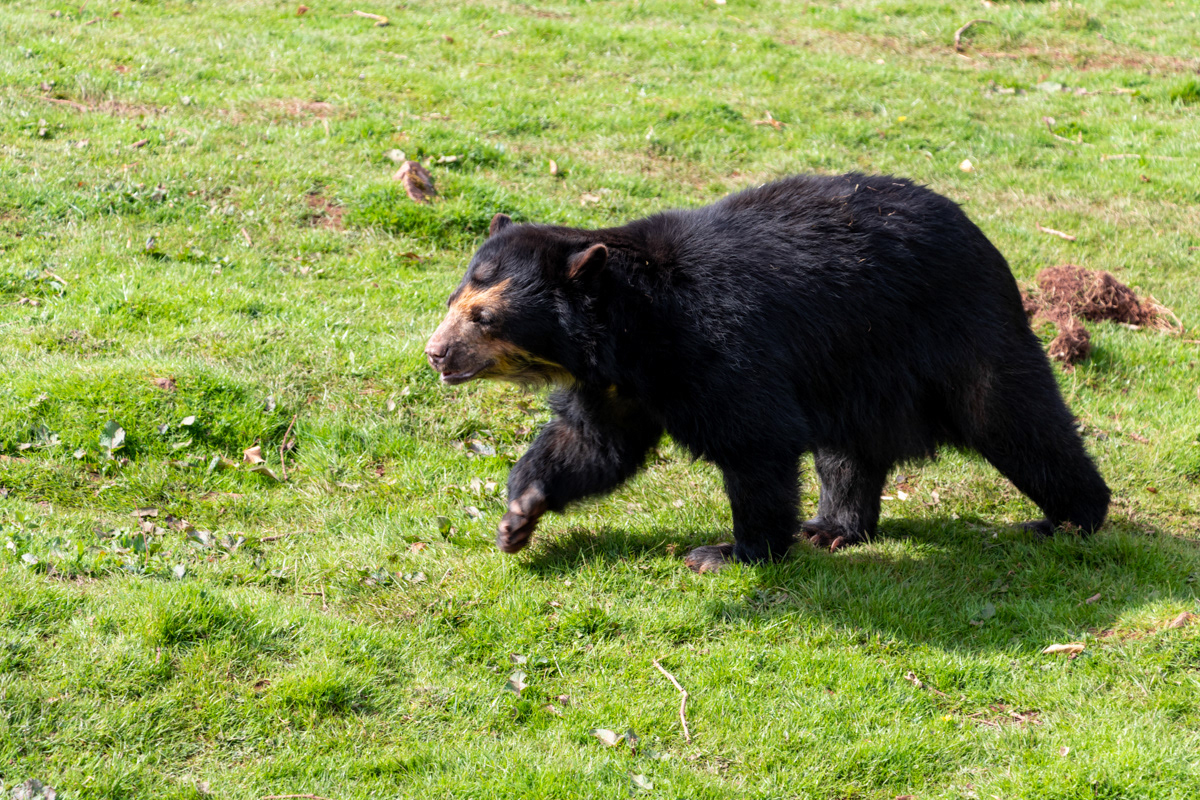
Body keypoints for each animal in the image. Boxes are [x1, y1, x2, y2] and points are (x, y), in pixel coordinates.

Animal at [424, 173, 1111, 572]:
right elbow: (593, 444)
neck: (633, 332)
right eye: (455, 299)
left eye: (484, 317)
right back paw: (833, 528)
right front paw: (518, 517)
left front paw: (728, 552)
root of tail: (984, 240)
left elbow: (755, 442)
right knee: (849, 452)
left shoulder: (722, 345)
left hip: (959, 331)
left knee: (1013, 418)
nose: (435, 353)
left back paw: (1069, 519)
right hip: (853, 367)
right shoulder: (617, 383)